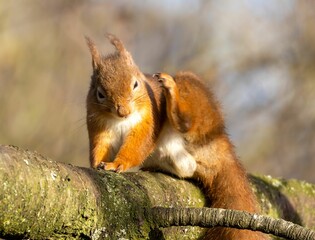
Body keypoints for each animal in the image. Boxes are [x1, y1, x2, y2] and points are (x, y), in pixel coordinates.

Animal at [86, 34, 270, 240]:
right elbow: (99, 147)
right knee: (187, 167)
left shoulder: (149, 119)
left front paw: (117, 164)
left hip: (197, 102)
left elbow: (138, 144)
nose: (123, 112)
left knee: (187, 123)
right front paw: (97, 164)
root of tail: (220, 143)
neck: (119, 121)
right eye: (100, 94)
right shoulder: (98, 126)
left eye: (135, 84)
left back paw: (173, 97)